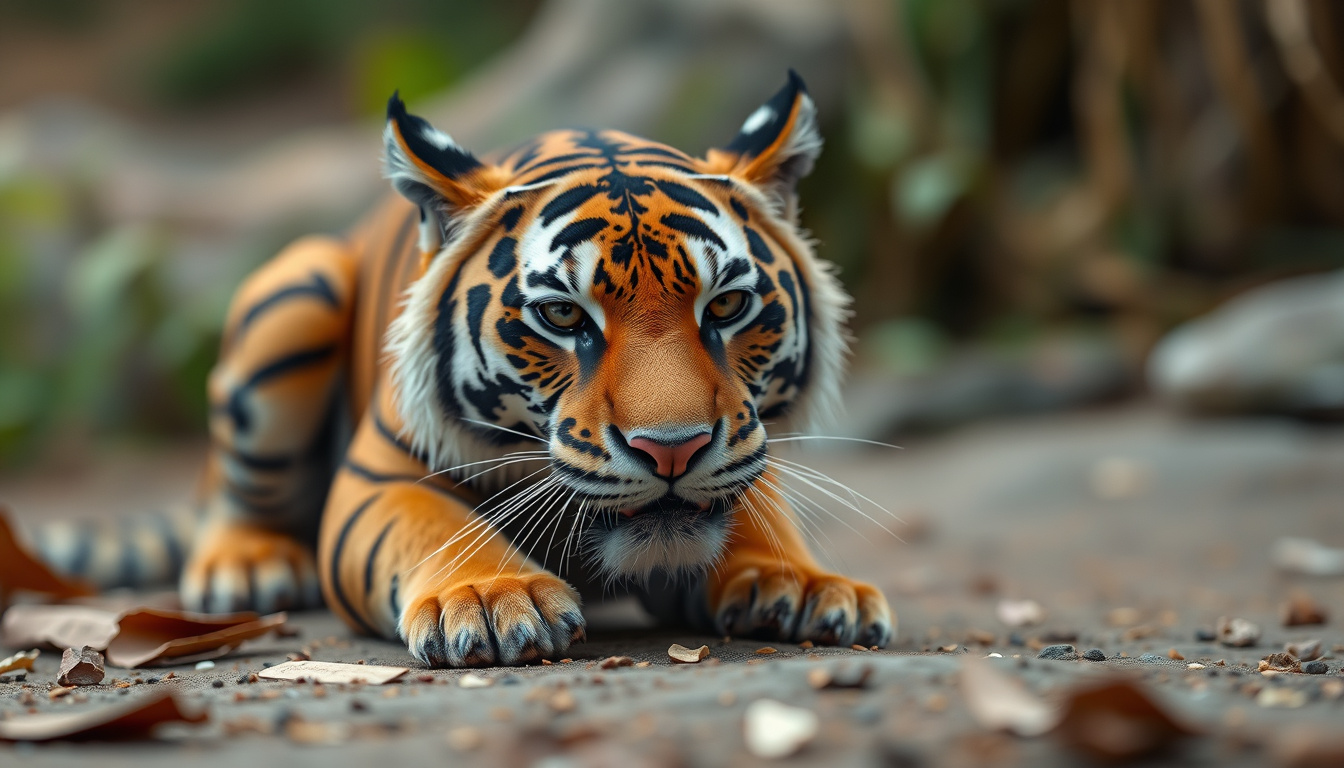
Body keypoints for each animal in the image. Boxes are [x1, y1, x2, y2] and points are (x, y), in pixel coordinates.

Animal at [37, 71, 894, 666]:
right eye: (563, 317)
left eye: (727, 306)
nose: (672, 450)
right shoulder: (378, 476)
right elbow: (438, 527)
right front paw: (491, 597)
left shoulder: (747, 450)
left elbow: (756, 503)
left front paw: (801, 583)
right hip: (298, 289)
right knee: (233, 493)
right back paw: (247, 566)